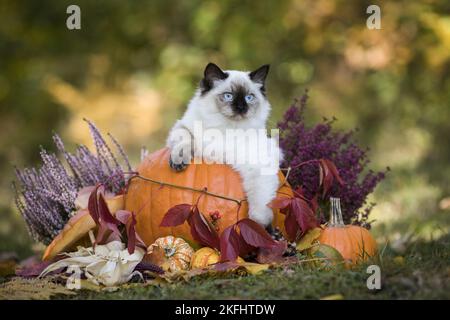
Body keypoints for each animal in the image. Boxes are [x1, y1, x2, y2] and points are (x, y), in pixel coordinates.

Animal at [167, 62, 284, 228]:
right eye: (229, 96)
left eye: (249, 97)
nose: (241, 107)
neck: (226, 128)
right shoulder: (183, 127)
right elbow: (185, 140)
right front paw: (179, 161)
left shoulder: (257, 164)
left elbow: (260, 206)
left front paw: (258, 227)